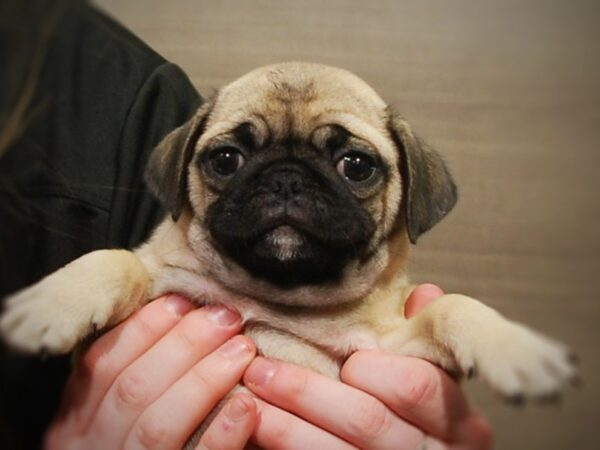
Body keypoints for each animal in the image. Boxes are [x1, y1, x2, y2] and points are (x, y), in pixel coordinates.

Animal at [0, 61, 580, 410]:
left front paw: (517, 349)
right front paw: (50, 304)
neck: (279, 297)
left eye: (356, 166)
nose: (286, 177)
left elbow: (453, 307)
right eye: (226, 159)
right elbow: (113, 260)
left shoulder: (389, 352)